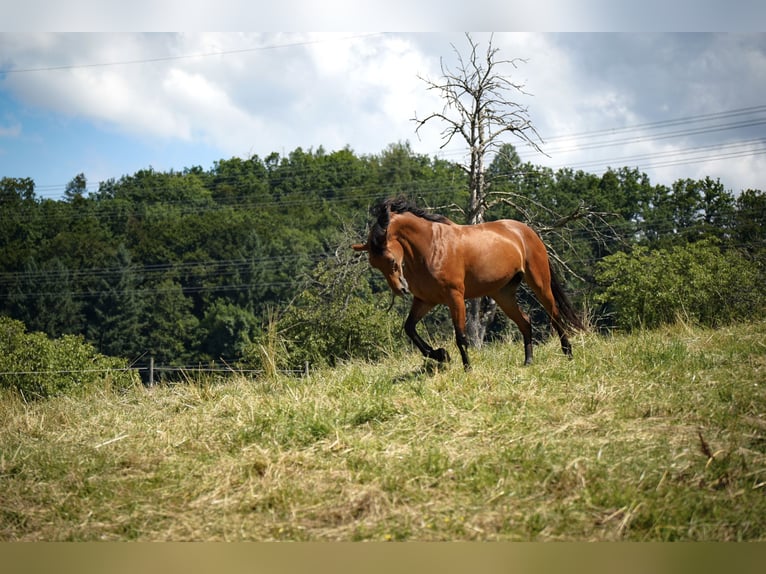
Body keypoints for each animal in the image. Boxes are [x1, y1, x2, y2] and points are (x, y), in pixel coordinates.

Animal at [352, 197, 584, 371]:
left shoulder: (455, 297)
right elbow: (410, 328)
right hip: (503, 294)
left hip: (539, 283)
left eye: (392, 260)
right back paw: (528, 361)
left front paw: (467, 368)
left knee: (555, 315)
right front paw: (441, 355)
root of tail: (526, 231)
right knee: (526, 321)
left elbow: (460, 335)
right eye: (375, 265)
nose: (401, 289)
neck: (431, 247)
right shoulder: (425, 300)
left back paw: (568, 354)